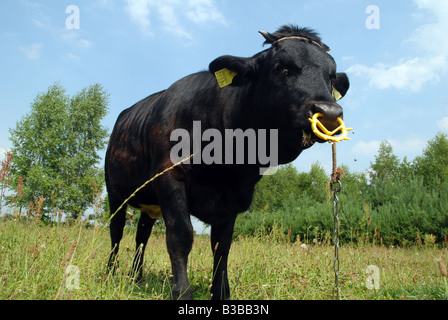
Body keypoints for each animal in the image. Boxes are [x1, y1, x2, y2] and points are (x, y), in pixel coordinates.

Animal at [105, 25, 350, 300]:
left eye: (331, 77)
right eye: (281, 67)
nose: (329, 113)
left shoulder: (233, 197)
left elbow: (222, 246)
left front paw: (221, 293)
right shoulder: (170, 178)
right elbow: (180, 236)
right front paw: (182, 292)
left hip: (149, 202)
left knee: (142, 235)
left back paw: (136, 277)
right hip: (115, 191)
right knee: (116, 230)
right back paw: (111, 274)